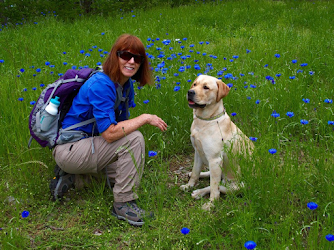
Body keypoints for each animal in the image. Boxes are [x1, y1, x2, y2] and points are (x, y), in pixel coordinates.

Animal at [180, 74, 253, 211]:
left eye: (206, 87)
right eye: (194, 84)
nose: (190, 92)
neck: (205, 121)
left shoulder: (215, 159)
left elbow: (214, 188)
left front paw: (211, 204)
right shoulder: (198, 152)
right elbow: (195, 172)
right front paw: (189, 185)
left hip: (237, 186)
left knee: (219, 186)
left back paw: (199, 192)